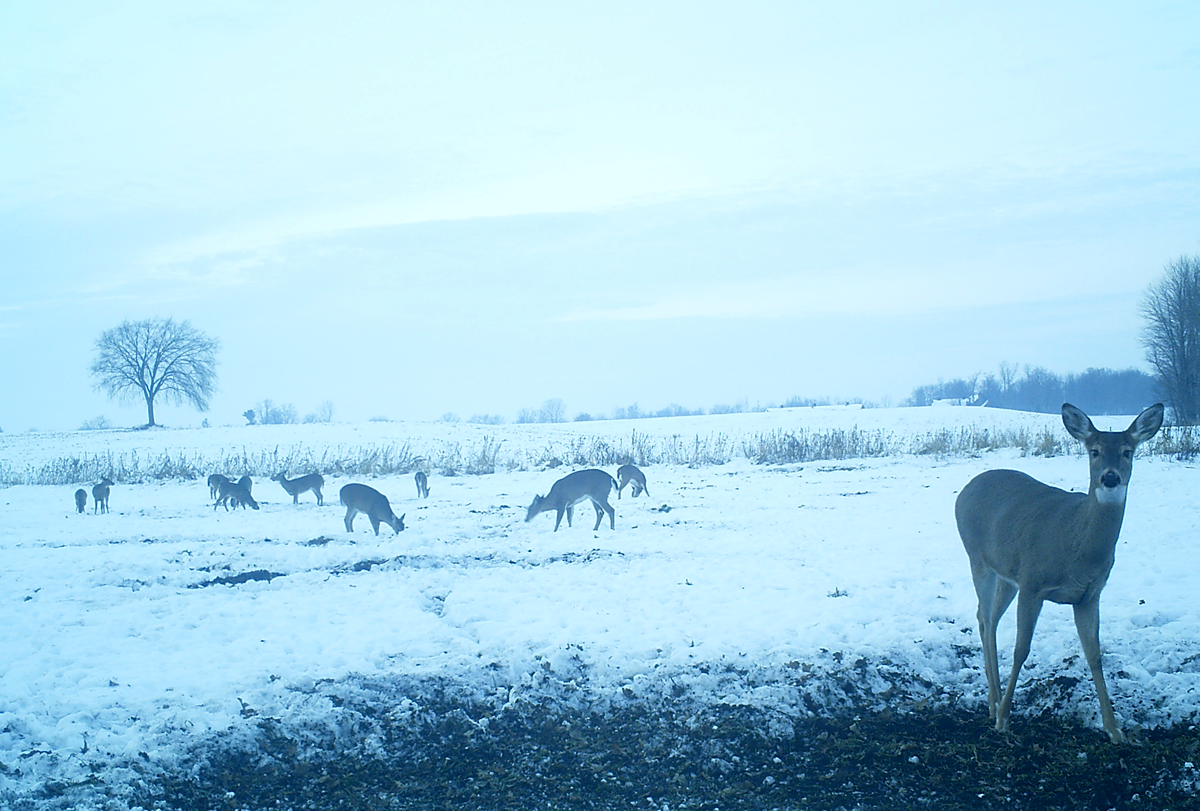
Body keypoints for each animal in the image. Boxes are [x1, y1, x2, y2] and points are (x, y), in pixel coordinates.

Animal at [955, 402, 1164, 743]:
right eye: (1094, 451)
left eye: (1127, 451)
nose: (1110, 478)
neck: (1078, 545)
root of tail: (966, 489)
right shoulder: (1032, 582)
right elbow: (1021, 650)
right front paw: (1004, 720)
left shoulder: (1089, 595)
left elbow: (1094, 655)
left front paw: (1114, 729)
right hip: (978, 558)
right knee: (985, 618)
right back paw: (994, 704)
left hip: (1006, 573)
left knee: (989, 619)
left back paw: (994, 698)